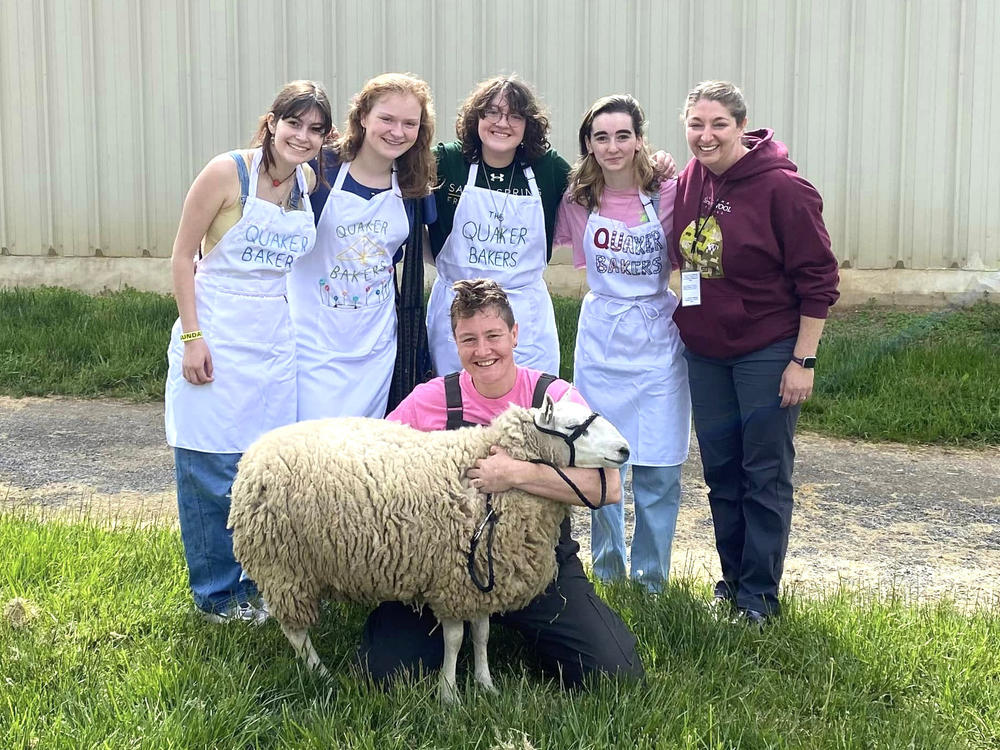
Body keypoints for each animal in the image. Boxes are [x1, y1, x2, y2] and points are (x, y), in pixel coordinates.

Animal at [230, 394, 628, 704]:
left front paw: (486, 685)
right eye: (576, 426)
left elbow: (481, 633)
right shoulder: (451, 578)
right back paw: (321, 675)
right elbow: (454, 639)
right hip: (282, 564)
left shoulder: (480, 578)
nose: (625, 449)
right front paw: (448, 693)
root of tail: (253, 453)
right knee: (295, 632)